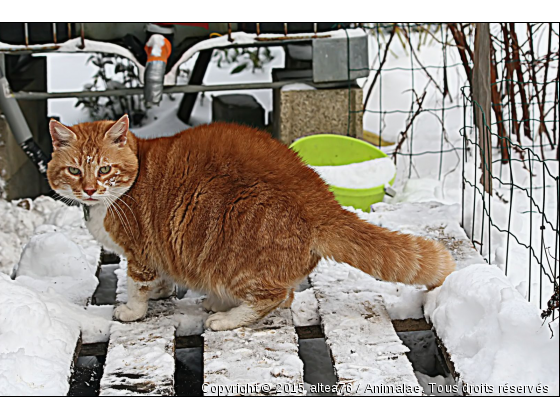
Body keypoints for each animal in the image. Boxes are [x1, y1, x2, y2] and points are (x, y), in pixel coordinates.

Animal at [47, 115, 456, 332]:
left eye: (104, 169)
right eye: (74, 170)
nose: (88, 189)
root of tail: (322, 201)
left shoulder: (140, 251)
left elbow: (137, 285)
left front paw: (132, 310)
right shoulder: (156, 251)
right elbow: (159, 278)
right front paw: (162, 292)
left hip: (234, 258)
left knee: (276, 296)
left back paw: (226, 318)